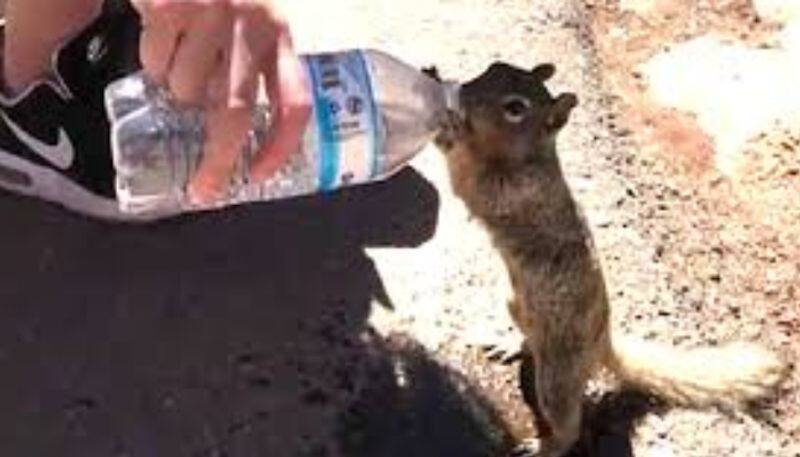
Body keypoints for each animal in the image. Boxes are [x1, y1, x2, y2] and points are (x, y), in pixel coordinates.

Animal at [428, 63, 792, 456]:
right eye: (493, 68)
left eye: (515, 108)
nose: (462, 94)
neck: (529, 156)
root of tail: (602, 343)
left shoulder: (509, 189)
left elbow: (467, 176)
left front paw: (447, 123)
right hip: (516, 304)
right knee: (529, 341)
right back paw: (510, 343)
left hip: (557, 375)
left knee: (568, 423)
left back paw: (545, 446)